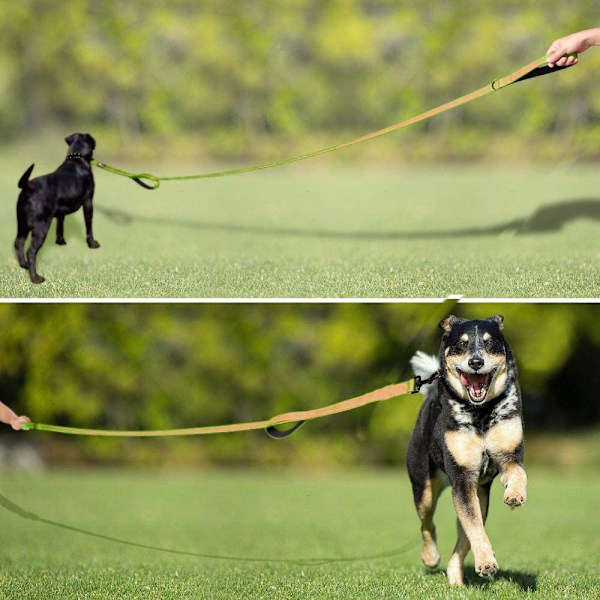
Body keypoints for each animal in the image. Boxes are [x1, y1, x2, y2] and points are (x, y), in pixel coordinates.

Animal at [13, 132, 99, 282]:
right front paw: (92, 244)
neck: (76, 159)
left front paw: (60, 241)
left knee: (19, 242)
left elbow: (60, 225)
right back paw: (35, 278)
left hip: (22, 224)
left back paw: (24, 265)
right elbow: (89, 227)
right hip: (41, 226)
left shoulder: (60, 212)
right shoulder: (88, 203)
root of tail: (28, 186)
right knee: (31, 251)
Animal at [406, 314, 528, 584]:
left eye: (490, 342)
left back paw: (456, 580)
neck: (480, 412)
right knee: (427, 524)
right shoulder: (462, 478)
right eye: (461, 344)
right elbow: (474, 529)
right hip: (425, 487)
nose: (475, 362)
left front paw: (514, 495)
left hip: (480, 495)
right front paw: (486, 563)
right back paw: (431, 557)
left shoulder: (509, 455)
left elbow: (518, 473)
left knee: (463, 540)